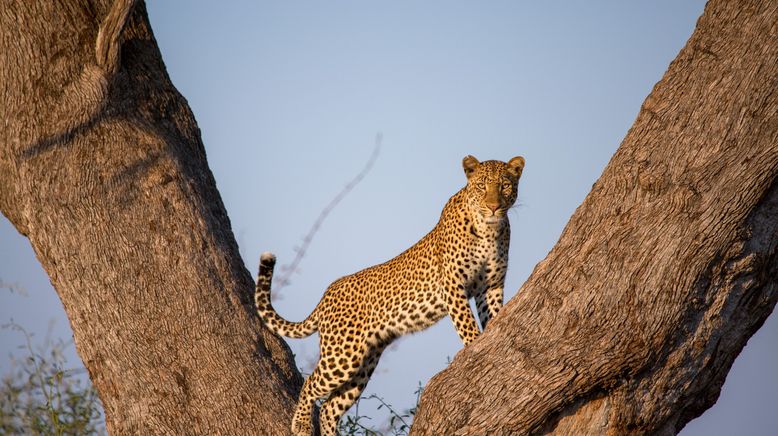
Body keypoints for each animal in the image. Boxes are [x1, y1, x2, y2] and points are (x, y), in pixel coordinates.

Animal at [255, 155, 520, 434]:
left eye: (504, 186)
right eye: (481, 186)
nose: (493, 207)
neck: (489, 231)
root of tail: (327, 295)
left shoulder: (491, 286)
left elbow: (492, 314)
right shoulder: (453, 285)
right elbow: (467, 326)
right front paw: (475, 349)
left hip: (363, 363)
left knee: (329, 407)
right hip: (342, 354)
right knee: (311, 383)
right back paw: (301, 424)